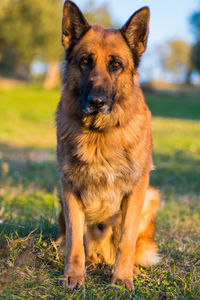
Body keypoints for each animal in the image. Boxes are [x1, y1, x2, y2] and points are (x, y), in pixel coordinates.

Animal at [55, 0, 159, 290]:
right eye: (85, 61)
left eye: (116, 65)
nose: (97, 102)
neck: (99, 132)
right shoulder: (69, 187)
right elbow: (75, 241)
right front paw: (74, 275)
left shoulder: (137, 189)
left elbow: (126, 240)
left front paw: (122, 277)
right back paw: (90, 263)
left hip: (151, 197)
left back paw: (130, 269)